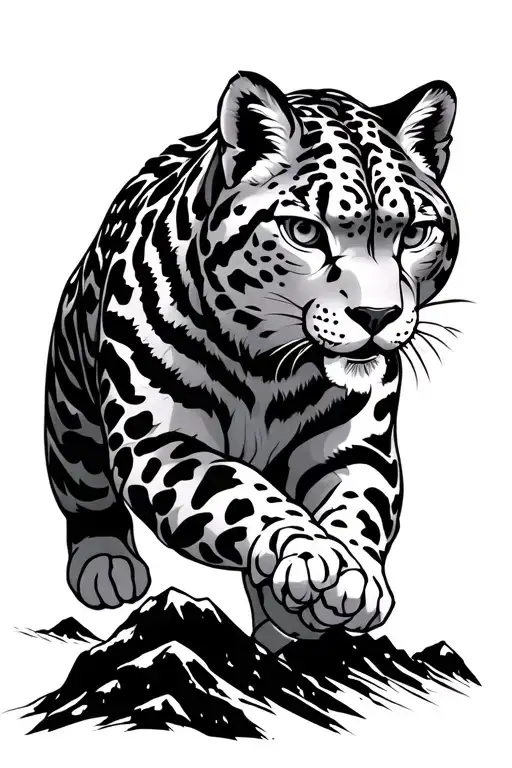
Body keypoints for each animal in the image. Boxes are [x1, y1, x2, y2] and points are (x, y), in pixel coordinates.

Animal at [45, 71, 458, 652]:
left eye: (415, 233)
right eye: (305, 232)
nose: (377, 316)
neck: (269, 365)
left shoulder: (353, 449)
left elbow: (361, 506)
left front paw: (352, 579)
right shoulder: (159, 442)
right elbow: (237, 490)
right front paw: (311, 553)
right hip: (71, 399)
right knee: (81, 477)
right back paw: (106, 564)